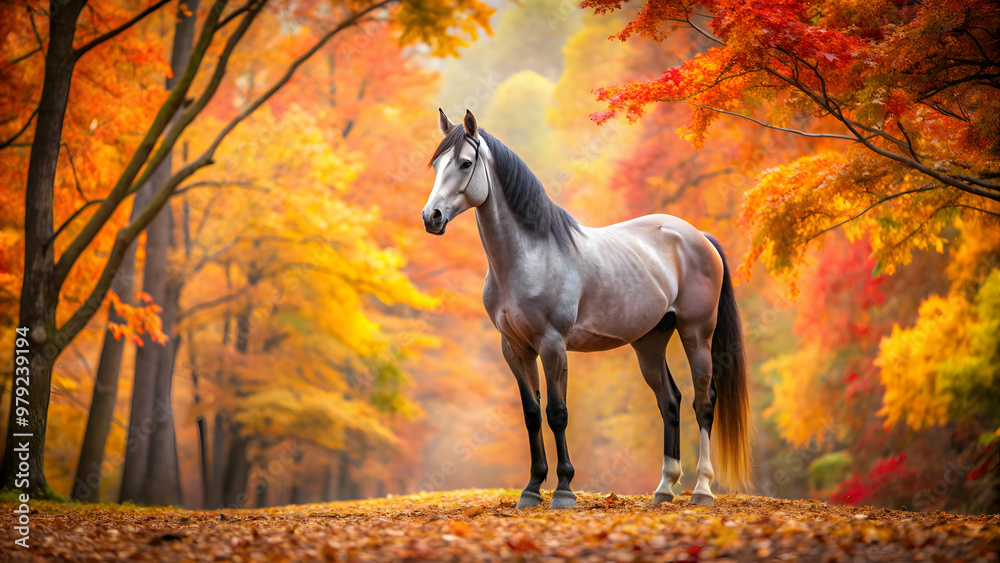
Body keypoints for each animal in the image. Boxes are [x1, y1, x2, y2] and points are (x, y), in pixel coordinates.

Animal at [421, 109, 752, 509]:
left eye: (466, 163)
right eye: (436, 164)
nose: (431, 217)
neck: (528, 257)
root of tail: (698, 236)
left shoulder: (553, 345)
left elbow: (557, 413)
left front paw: (564, 489)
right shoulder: (515, 349)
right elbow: (532, 414)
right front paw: (531, 488)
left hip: (696, 334)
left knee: (703, 401)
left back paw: (702, 490)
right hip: (650, 341)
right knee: (669, 401)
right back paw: (664, 489)